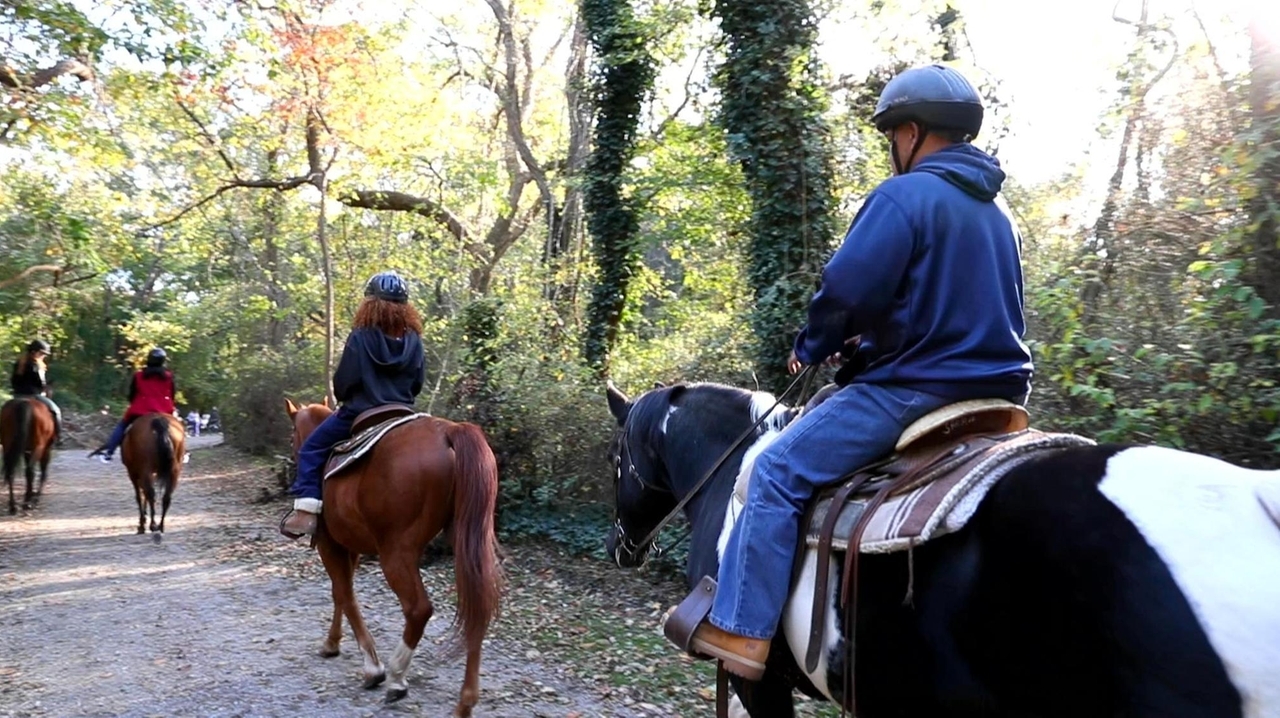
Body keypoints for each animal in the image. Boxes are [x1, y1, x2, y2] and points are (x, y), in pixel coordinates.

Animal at [283, 399, 503, 717]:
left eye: (292, 437)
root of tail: (449, 431)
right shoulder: (350, 546)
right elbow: (341, 593)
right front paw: (332, 643)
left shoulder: (329, 544)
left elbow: (344, 594)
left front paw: (372, 668)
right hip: (469, 541)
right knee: (478, 607)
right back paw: (465, 702)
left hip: (396, 552)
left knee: (418, 609)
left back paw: (397, 676)